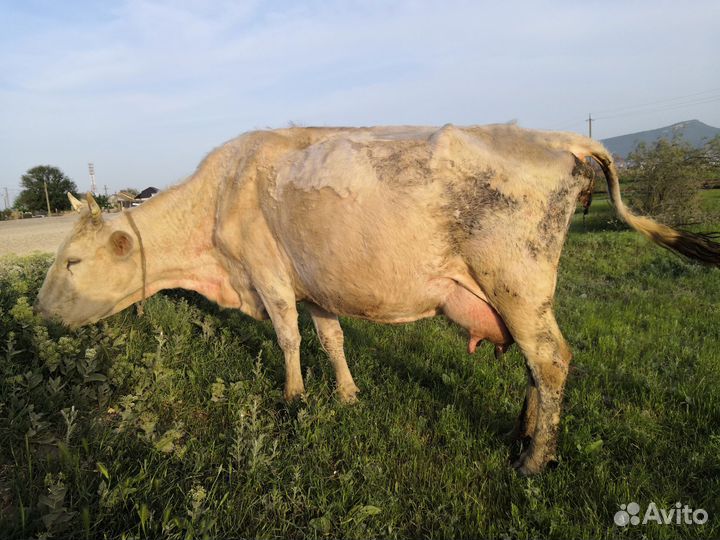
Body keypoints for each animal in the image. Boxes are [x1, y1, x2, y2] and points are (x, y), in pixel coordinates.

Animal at [35, 124, 720, 475]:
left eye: (71, 261)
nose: (39, 312)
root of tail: (557, 136)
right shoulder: (313, 281)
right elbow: (331, 337)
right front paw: (346, 394)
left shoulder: (270, 276)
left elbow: (287, 339)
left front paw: (294, 399)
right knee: (536, 365)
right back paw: (522, 436)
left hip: (518, 284)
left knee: (550, 360)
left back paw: (534, 460)